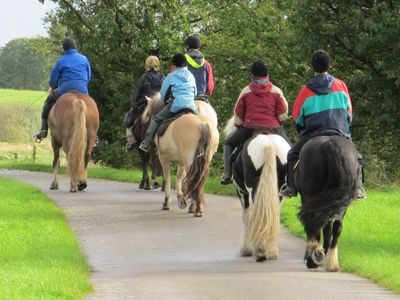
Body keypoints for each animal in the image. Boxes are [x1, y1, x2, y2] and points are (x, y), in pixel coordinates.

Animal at [225, 119, 290, 260]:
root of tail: (269, 144)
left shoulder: (241, 192)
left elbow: (246, 216)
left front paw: (246, 249)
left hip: (252, 190)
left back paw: (261, 250)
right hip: (279, 190)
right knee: (273, 213)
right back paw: (270, 250)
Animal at [296, 135, 360, 270]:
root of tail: (330, 144)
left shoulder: (306, 198)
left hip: (312, 196)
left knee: (315, 222)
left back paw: (314, 258)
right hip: (341, 201)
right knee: (336, 227)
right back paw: (331, 261)